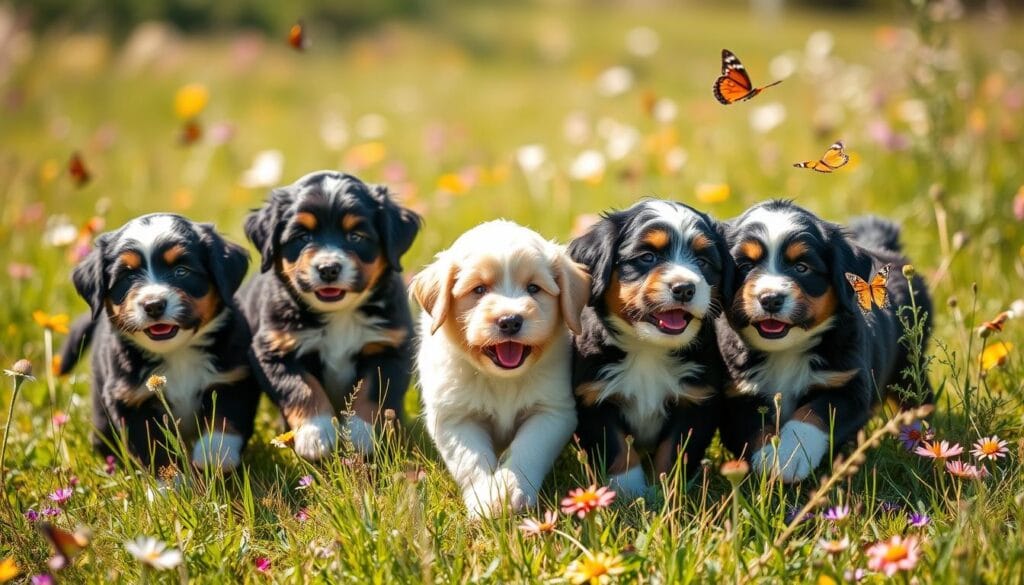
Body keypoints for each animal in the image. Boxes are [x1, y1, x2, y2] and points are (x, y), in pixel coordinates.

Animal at [57, 213, 253, 473]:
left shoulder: (233, 378)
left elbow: (225, 421)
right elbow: (154, 450)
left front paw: (214, 455)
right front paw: (171, 481)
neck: (178, 354)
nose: (153, 305)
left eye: (181, 271)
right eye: (128, 276)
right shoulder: (129, 400)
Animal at [241, 169, 421, 463]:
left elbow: (371, 392)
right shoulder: (274, 349)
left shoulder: (389, 346)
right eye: (302, 237)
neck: (339, 315)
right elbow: (303, 389)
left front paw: (359, 435)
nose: (328, 268)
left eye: (356, 236)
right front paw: (316, 434)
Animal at [411, 222, 589, 520]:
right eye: (479, 290)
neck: (502, 379)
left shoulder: (553, 411)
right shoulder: (453, 417)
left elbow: (529, 449)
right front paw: (485, 498)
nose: (510, 321)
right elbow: (471, 460)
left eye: (533, 288)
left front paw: (512, 490)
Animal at [569, 198, 729, 495]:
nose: (684, 288)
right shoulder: (594, 397)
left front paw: (667, 491)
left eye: (702, 262)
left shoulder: (695, 401)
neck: (648, 349)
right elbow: (619, 449)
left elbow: (674, 451)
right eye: (647, 257)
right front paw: (628, 491)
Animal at [716, 198, 933, 483]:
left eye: (801, 268)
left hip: (909, 362)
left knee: (918, 398)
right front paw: (769, 459)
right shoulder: (738, 393)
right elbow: (755, 428)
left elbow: (811, 416)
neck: (785, 351)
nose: (771, 299)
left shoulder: (847, 386)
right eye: (745, 266)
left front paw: (791, 455)